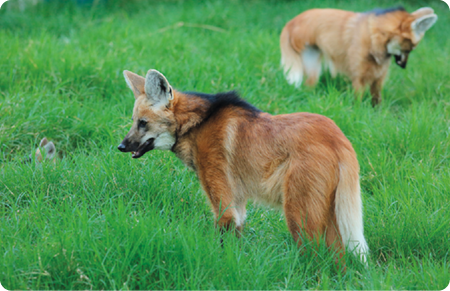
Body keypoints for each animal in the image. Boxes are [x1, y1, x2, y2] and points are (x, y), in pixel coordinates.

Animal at [117, 69, 370, 262]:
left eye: (143, 123)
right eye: (133, 122)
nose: (121, 146)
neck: (197, 125)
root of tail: (339, 139)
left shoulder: (224, 200)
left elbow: (224, 234)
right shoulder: (237, 202)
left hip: (299, 212)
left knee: (320, 253)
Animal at [280, 6, 438, 106]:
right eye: (409, 49)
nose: (404, 66)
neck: (373, 40)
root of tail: (291, 21)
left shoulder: (378, 77)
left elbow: (377, 100)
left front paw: (378, 115)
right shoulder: (358, 78)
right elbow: (358, 101)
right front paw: (358, 111)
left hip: (313, 66)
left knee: (309, 84)